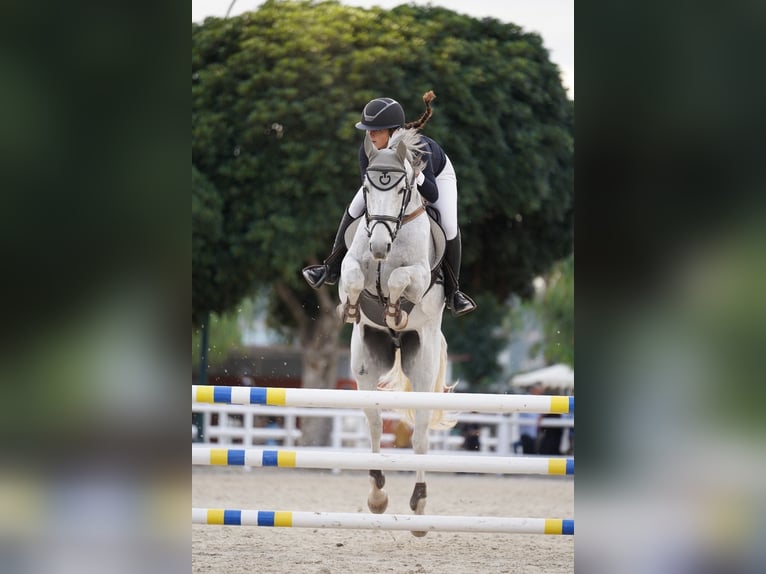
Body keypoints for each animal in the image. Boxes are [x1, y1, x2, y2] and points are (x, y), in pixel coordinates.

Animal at [337, 130, 455, 537]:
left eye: (403, 188)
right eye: (367, 188)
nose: (379, 246)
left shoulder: (418, 277)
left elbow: (401, 279)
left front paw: (393, 308)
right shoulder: (348, 268)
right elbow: (353, 278)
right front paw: (354, 307)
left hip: (423, 365)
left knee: (419, 435)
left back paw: (419, 509)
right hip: (365, 364)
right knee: (374, 424)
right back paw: (377, 497)